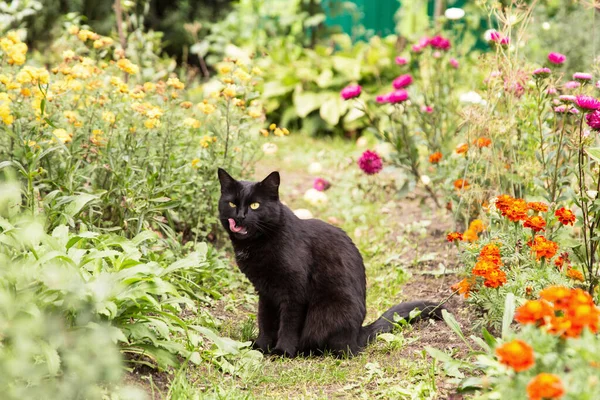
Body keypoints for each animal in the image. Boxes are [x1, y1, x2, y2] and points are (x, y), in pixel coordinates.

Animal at [218, 168, 442, 356]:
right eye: (232, 203)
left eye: (255, 205)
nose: (240, 216)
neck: (258, 244)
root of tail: (358, 333)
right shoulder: (266, 292)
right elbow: (265, 320)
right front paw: (261, 346)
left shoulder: (294, 292)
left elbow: (288, 324)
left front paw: (282, 351)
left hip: (330, 311)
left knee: (337, 348)